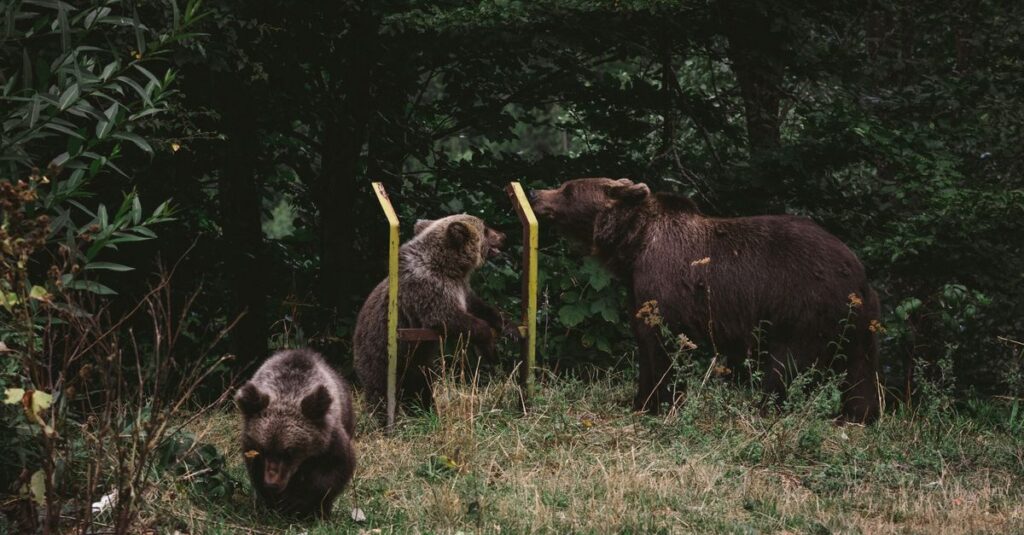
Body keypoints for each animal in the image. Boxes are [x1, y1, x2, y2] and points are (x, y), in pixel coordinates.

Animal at [235, 348, 356, 517]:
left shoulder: (330, 439)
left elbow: (335, 470)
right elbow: (255, 472)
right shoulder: (251, 444)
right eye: (263, 449)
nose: (272, 483)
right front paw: (274, 502)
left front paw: (296, 502)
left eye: (289, 452)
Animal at [353, 214, 509, 421]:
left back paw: (425, 412)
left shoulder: (460, 288)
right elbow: (449, 318)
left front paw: (499, 320)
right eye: (485, 229)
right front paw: (490, 346)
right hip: (378, 354)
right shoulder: (429, 290)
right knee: (380, 392)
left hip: (416, 363)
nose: (503, 236)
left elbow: (476, 304)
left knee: (420, 388)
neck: (450, 267)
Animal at [529, 177, 881, 423]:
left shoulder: (665, 281)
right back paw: (857, 415)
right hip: (856, 322)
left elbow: (662, 344)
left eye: (568, 189)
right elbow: (644, 340)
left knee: (786, 364)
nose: (535, 194)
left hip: (804, 306)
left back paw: (762, 408)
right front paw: (640, 400)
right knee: (860, 369)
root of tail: (859, 272)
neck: (633, 245)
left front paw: (659, 402)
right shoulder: (638, 290)